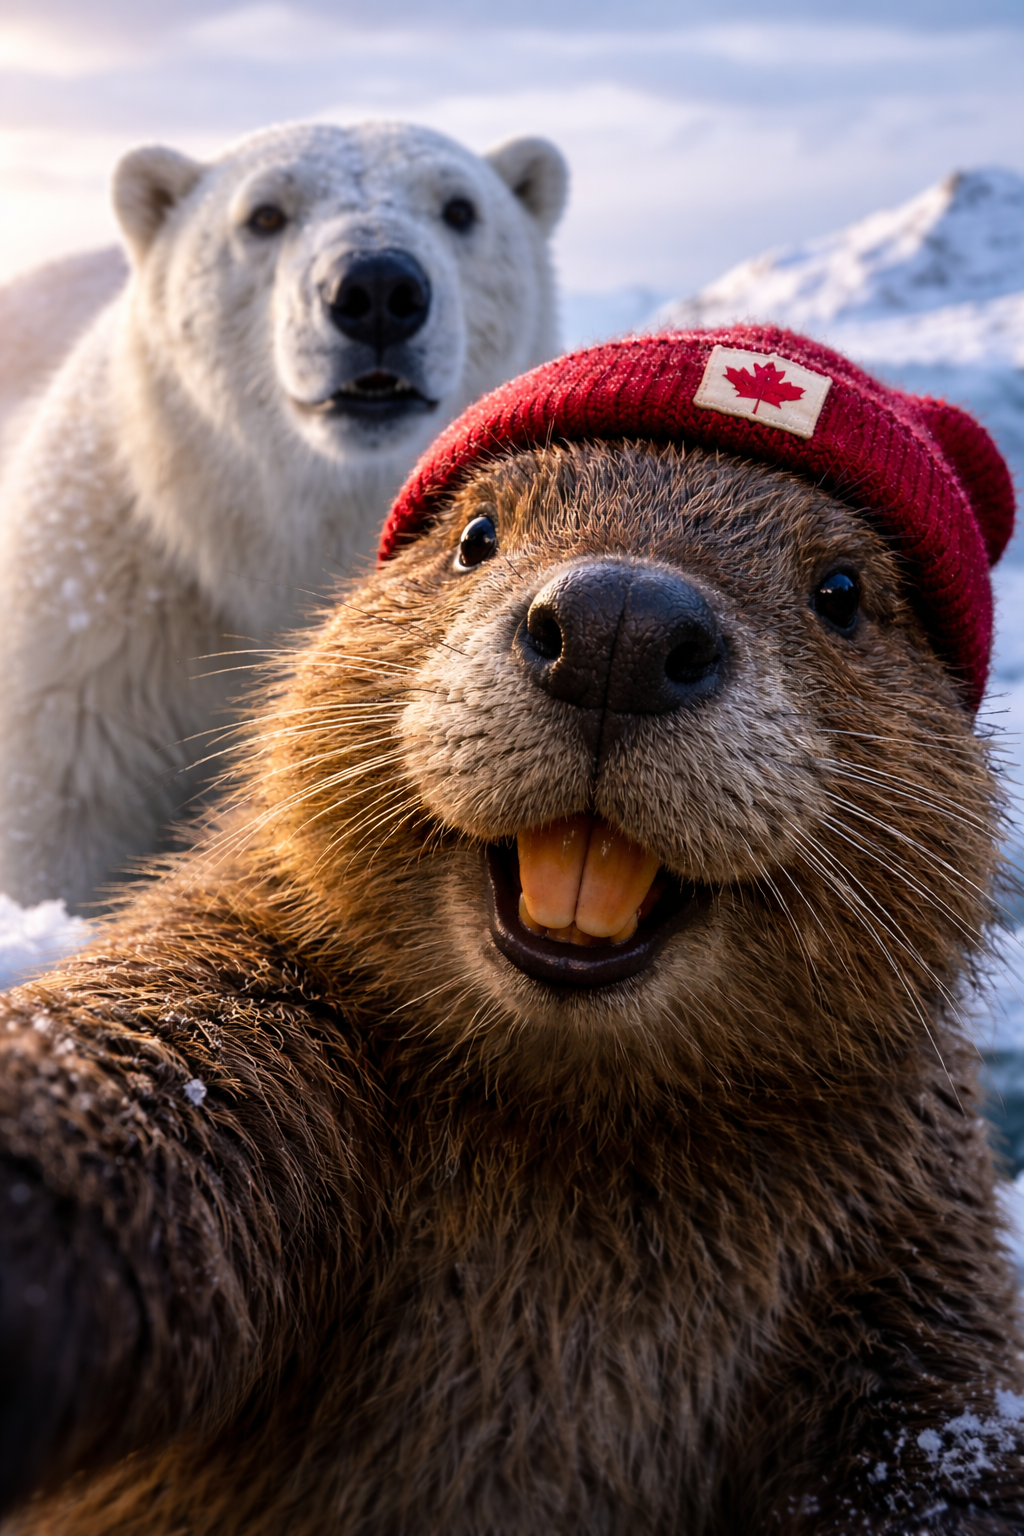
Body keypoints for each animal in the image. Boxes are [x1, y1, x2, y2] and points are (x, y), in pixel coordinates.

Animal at [0, 326, 1021, 1535]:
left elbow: (932, 1428)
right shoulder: (244, 976)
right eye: (476, 534)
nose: (619, 627)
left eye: (842, 589)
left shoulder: (917, 1221)